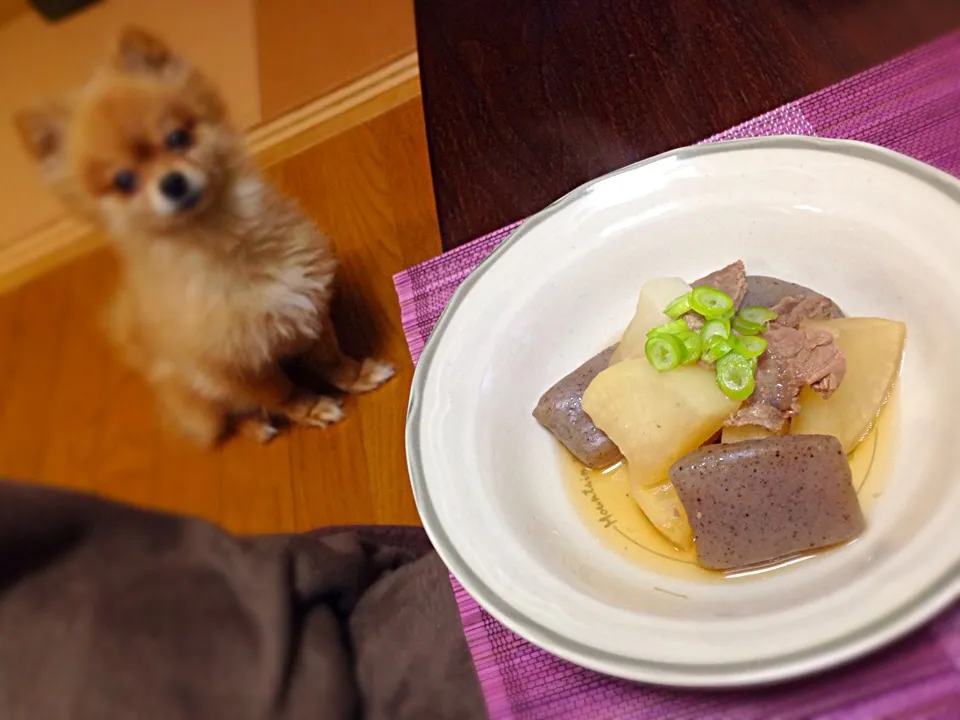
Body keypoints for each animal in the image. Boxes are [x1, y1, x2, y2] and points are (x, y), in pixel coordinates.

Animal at [12, 26, 394, 444]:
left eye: (178, 138)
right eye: (124, 181)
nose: (172, 182)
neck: (226, 240)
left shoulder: (305, 306)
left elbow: (330, 358)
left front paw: (358, 375)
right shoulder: (237, 368)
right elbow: (282, 392)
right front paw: (310, 409)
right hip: (201, 406)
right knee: (229, 417)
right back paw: (257, 426)